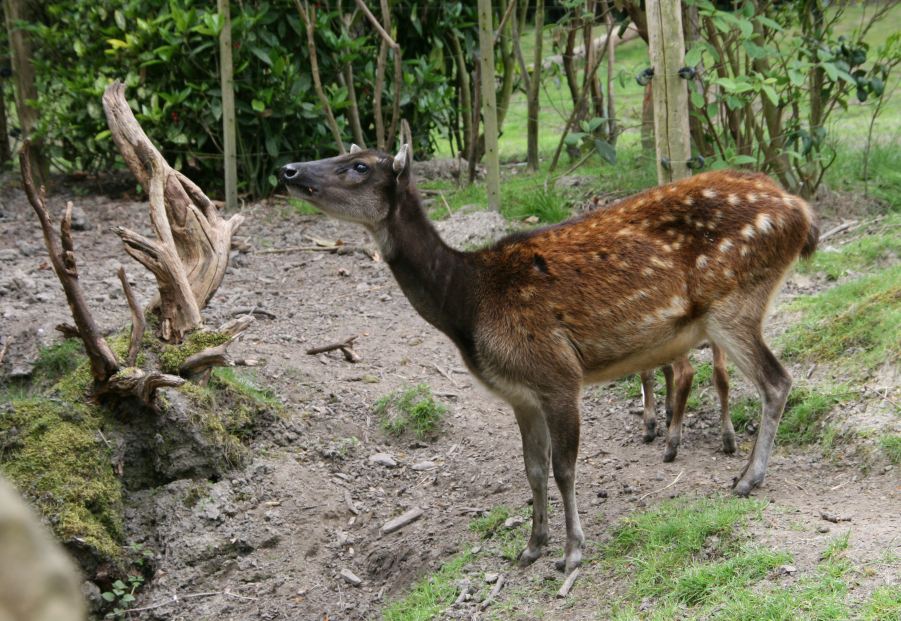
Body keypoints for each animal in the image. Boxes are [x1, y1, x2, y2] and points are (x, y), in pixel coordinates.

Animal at [279, 143, 818, 576]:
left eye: (358, 166)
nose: (288, 168)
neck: (468, 305)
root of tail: (801, 213)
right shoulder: (520, 394)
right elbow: (533, 469)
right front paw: (531, 546)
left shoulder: (557, 372)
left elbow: (564, 468)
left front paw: (572, 552)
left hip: (733, 301)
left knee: (777, 380)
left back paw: (747, 479)